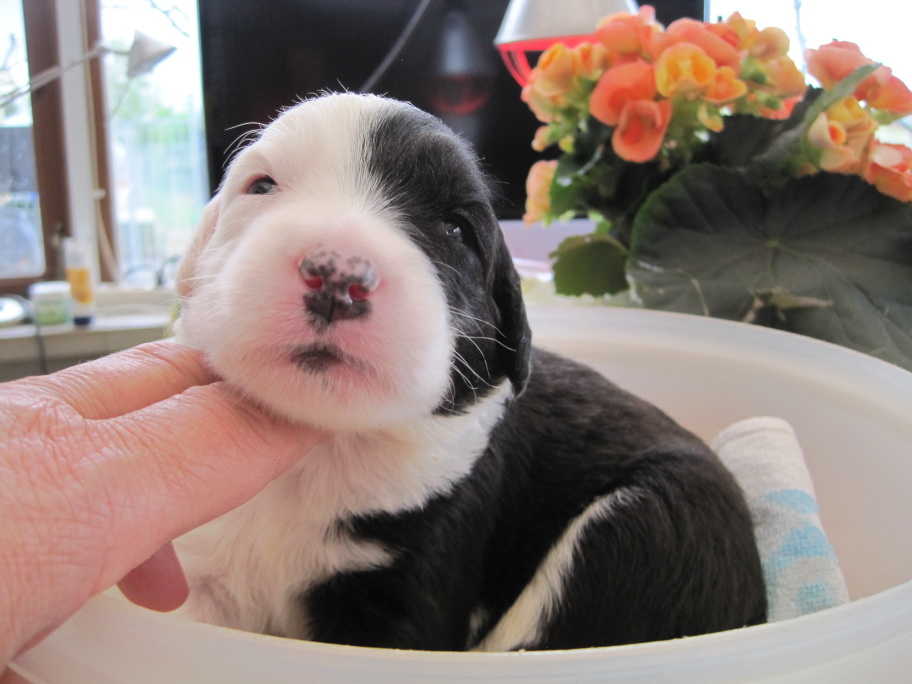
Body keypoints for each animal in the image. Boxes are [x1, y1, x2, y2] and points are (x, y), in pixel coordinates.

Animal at [173, 92, 766, 651]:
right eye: (261, 186)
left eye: (457, 229)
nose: (338, 276)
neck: (325, 450)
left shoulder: (406, 594)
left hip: (652, 524)